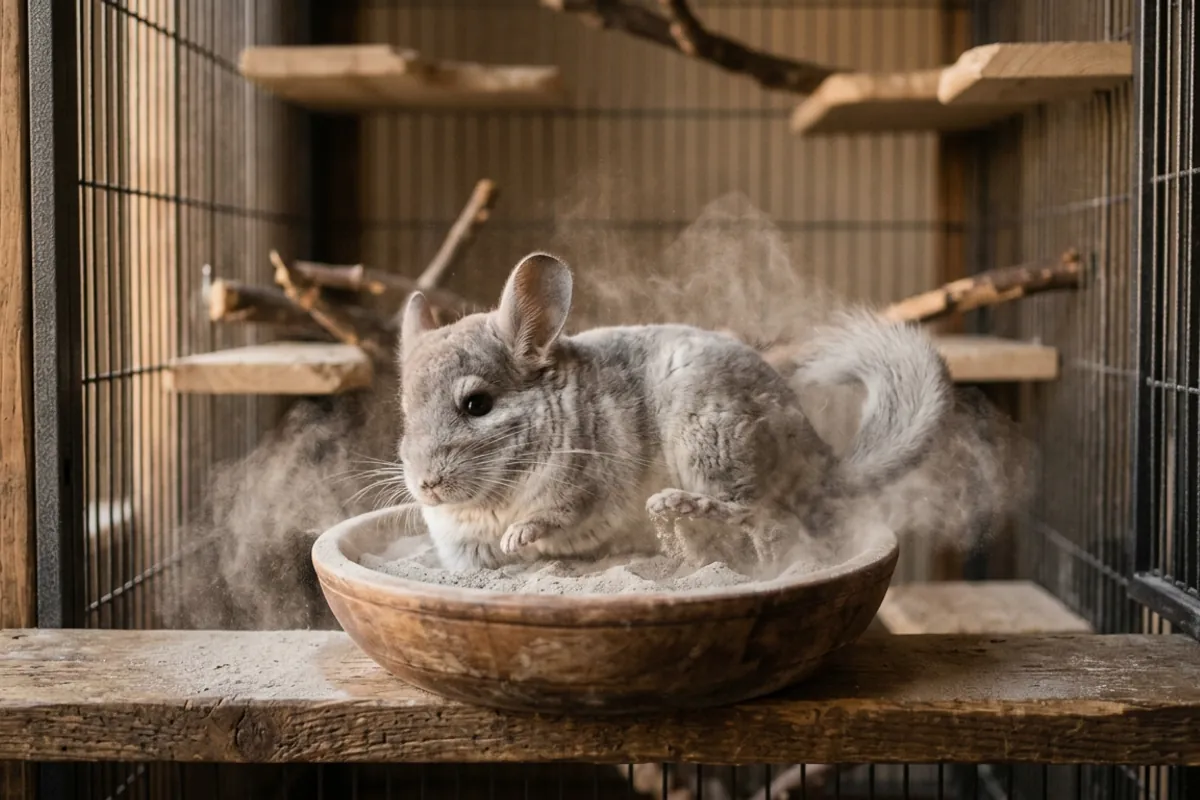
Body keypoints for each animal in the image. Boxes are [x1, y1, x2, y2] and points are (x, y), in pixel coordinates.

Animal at [396, 251, 952, 571]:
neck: (493, 501)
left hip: (708, 441)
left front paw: (518, 537)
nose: (426, 486)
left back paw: (675, 505)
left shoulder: (583, 484)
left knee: (751, 511)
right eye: (405, 413)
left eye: (476, 404)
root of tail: (820, 457)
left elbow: (553, 515)